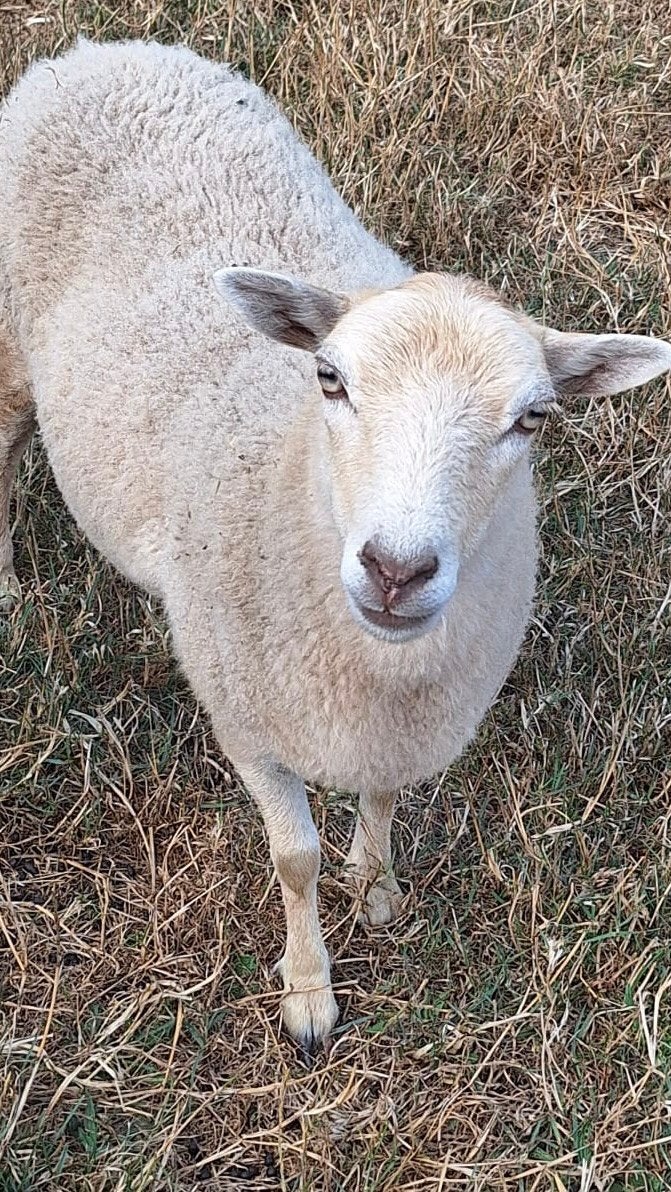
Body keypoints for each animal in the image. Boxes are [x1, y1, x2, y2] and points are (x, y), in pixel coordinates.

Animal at [1, 38, 670, 1049]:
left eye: (533, 418)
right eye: (328, 378)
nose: (395, 570)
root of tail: (96, 52)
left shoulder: (400, 730)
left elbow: (383, 800)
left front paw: (378, 888)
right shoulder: (245, 717)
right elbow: (294, 858)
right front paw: (309, 990)